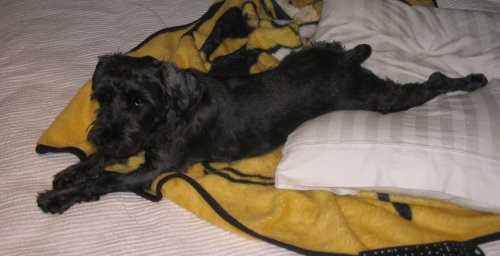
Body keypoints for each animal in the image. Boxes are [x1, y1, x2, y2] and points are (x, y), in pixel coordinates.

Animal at [38, 42, 488, 214]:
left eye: (138, 101)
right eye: (104, 97)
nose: (105, 132)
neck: (172, 110)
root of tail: (345, 63)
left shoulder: (155, 167)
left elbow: (107, 179)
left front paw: (59, 197)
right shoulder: (130, 144)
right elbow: (100, 160)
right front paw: (69, 173)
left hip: (379, 99)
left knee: (429, 86)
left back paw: (471, 81)